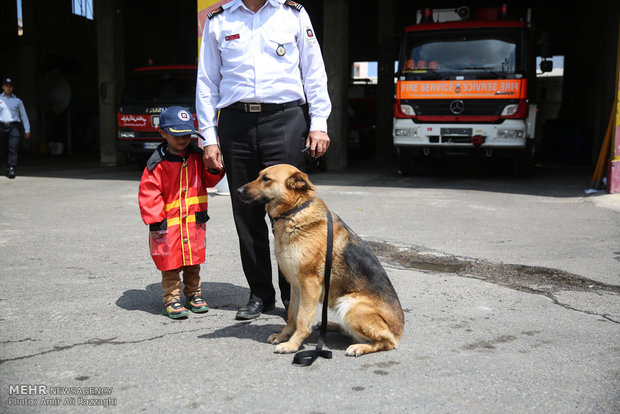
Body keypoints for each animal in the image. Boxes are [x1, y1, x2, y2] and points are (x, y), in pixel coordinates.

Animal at [235, 164, 404, 356]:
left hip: (350, 305)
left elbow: (302, 319)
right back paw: (329, 325)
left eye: (266, 179)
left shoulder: (309, 285)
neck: (295, 211)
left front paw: (292, 345)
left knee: (385, 342)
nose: (237, 191)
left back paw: (359, 347)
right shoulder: (296, 286)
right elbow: (292, 315)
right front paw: (284, 336)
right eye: (259, 176)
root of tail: (399, 333)